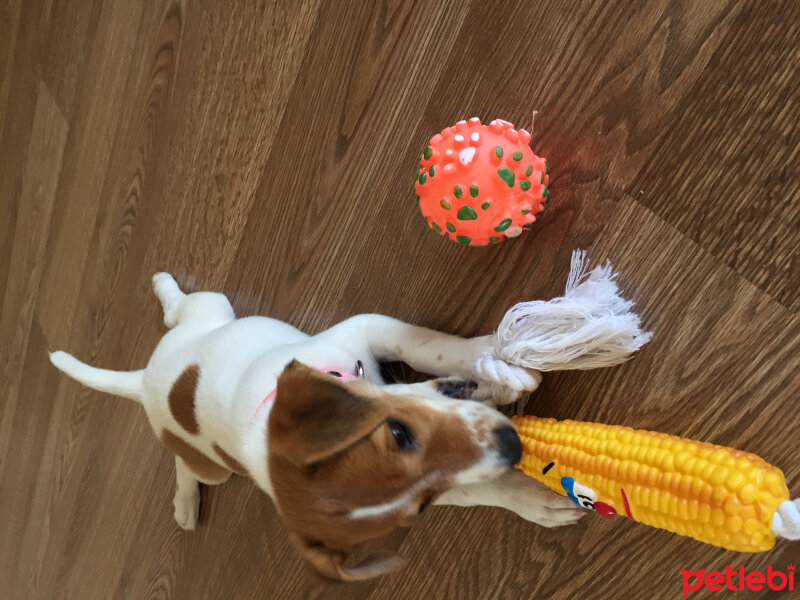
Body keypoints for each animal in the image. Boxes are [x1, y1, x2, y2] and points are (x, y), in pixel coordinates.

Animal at [51, 274, 588, 580]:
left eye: (399, 433)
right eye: (420, 506)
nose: (511, 444)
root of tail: (146, 381)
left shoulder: (367, 329)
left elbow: (428, 345)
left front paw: (492, 355)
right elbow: (486, 488)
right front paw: (536, 500)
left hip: (212, 310)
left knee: (184, 307)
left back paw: (165, 288)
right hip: (211, 466)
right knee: (187, 465)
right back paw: (185, 502)